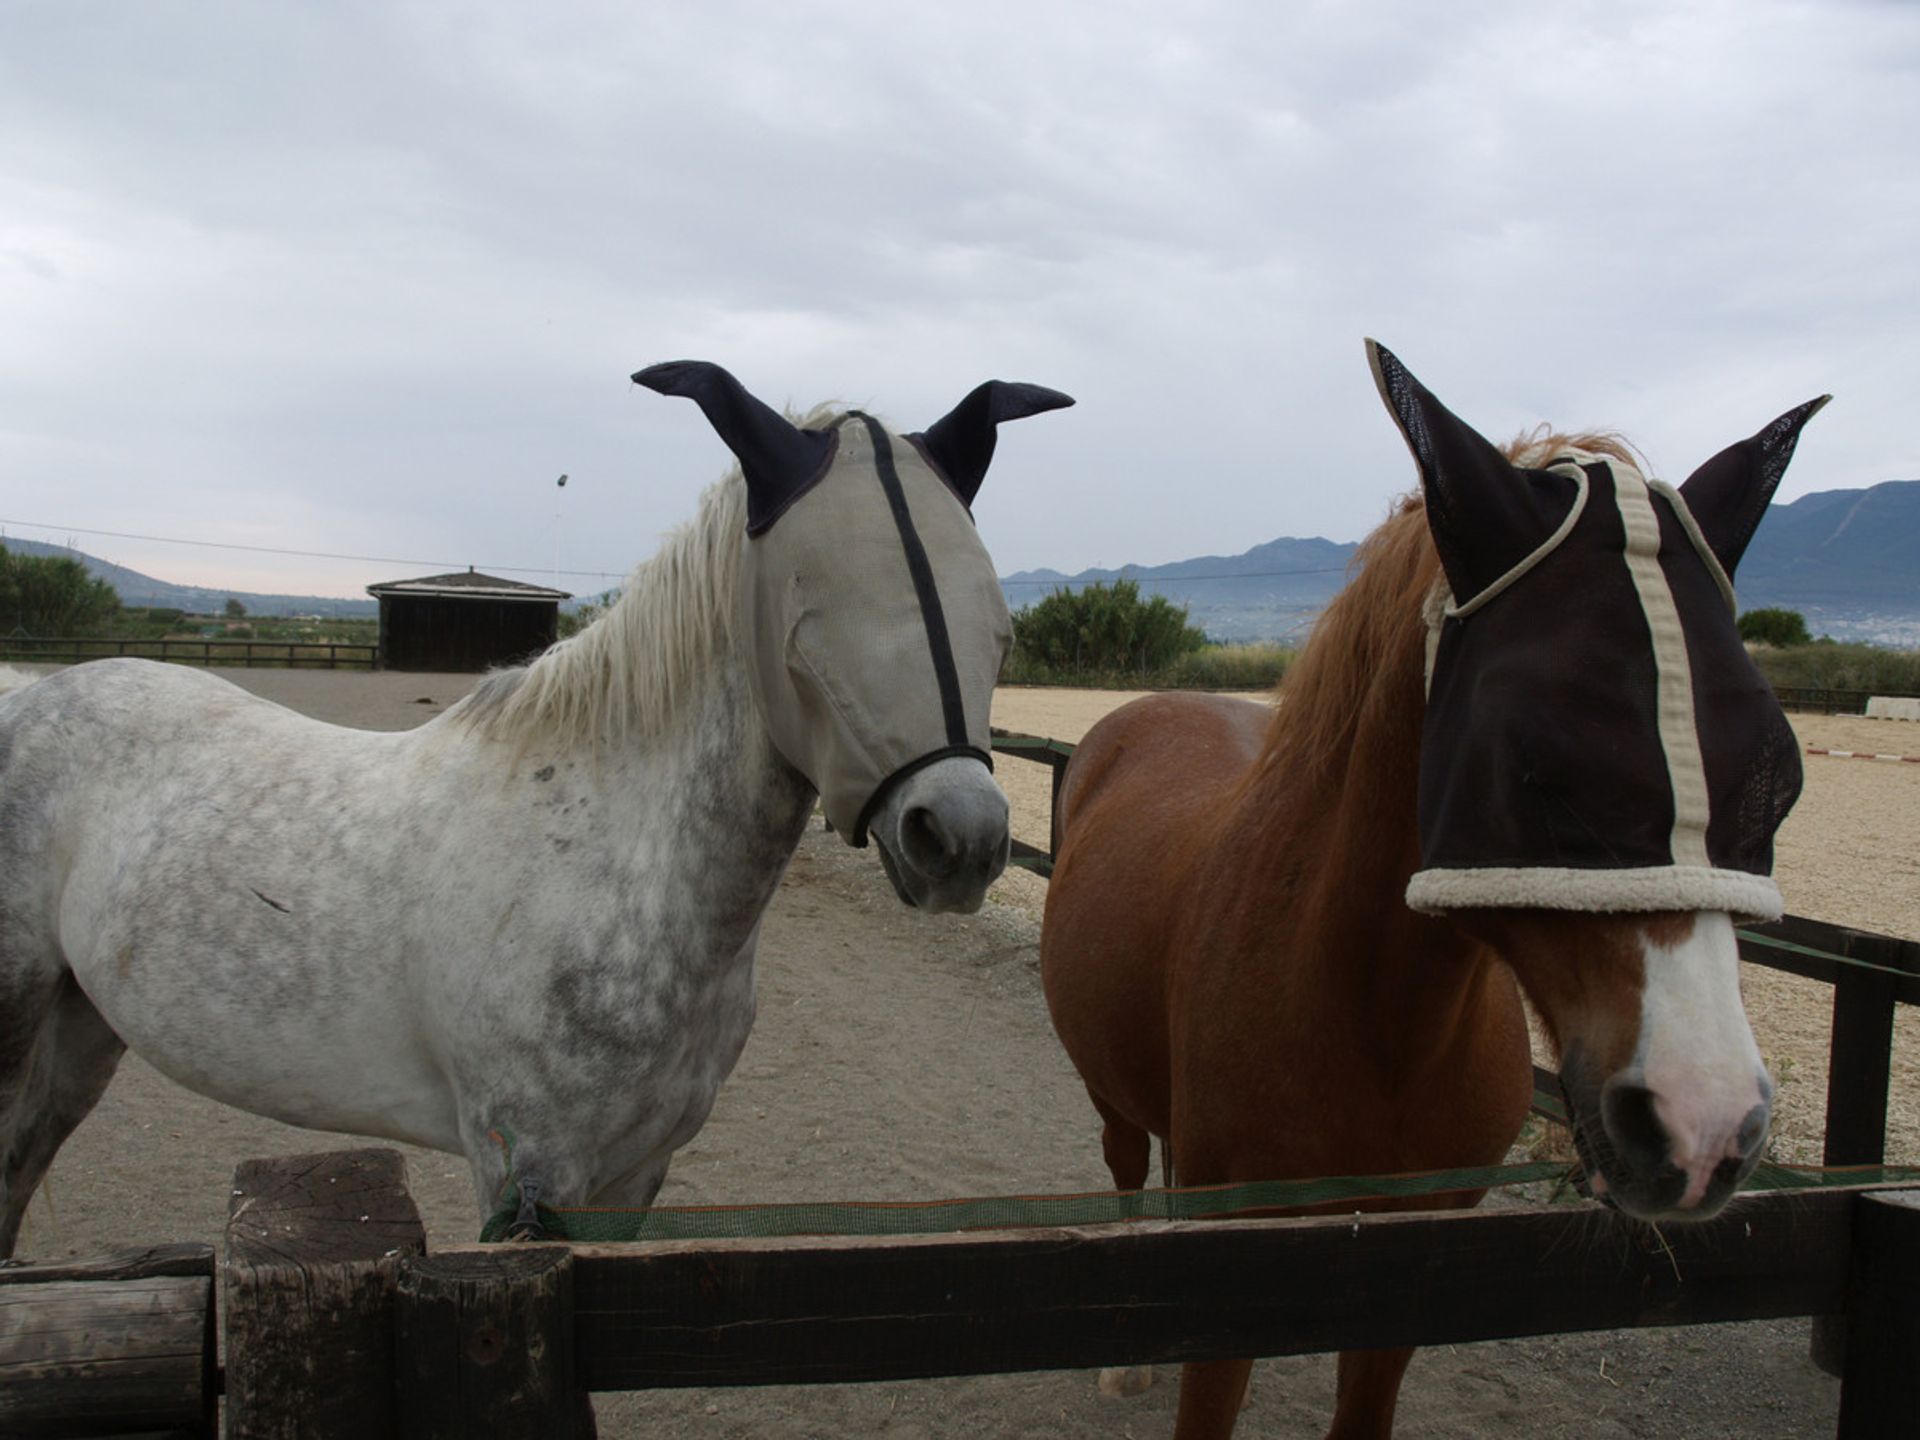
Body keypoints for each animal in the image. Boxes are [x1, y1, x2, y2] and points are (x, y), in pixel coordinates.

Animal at [0, 362, 1067, 1251]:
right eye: (808, 631)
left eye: (998, 629)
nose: (962, 838)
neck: (608, 867)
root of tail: (32, 694)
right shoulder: (527, 1179)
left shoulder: (635, 1175)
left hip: (83, 1032)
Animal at [1044, 341, 1820, 1440]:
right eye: (1532, 764)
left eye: (1776, 772)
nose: (1703, 1122)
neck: (1378, 1027)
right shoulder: (1235, 1264)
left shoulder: (1415, 1263)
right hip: (1109, 1089)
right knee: (1123, 1164)